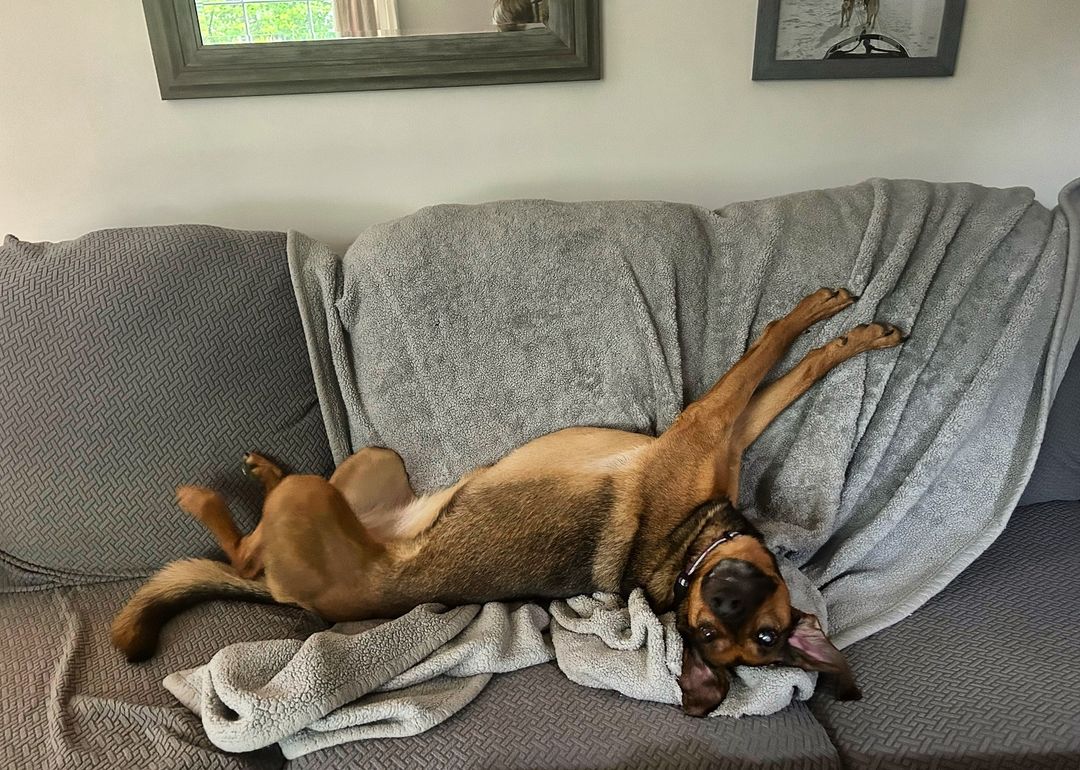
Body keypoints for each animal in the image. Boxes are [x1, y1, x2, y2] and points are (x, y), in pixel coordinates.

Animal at [111, 287, 902, 712]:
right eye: (720, 632)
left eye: (757, 639)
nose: (727, 598)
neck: (686, 549)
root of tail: (303, 603)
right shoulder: (717, 426)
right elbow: (778, 363)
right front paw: (843, 324)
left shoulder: (710, 427)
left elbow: (771, 362)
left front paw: (834, 327)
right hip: (374, 464)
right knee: (257, 540)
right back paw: (256, 471)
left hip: (316, 510)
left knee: (247, 553)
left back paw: (220, 497)